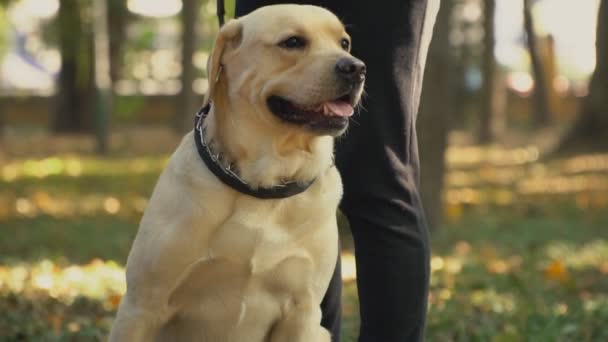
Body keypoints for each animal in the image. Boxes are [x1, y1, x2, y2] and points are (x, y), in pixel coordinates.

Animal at [110, 3, 366, 342]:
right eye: (293, 42)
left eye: (345, 43)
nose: (356, 68)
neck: (261, 185)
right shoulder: (142, 304)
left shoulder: (300, 313)